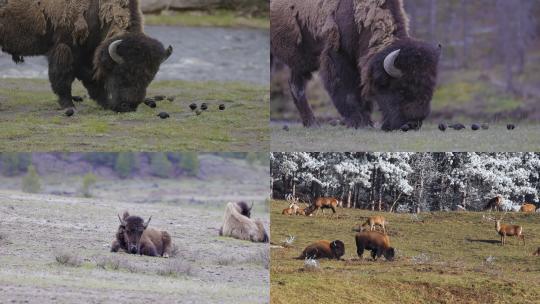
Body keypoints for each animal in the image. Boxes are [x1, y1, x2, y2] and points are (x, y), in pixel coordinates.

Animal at [0, 0, 172, 112]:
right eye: (123, 73)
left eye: (150, 77)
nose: (129, 106)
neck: (97, 9)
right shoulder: (66, 49)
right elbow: (64, 77)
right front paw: (68, 105)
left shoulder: (89, 55)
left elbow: (92, 79)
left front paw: (104, 103)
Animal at [272, 0, 440, 129]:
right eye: (401, 89)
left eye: (431, 88)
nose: (413, 123)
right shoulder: (338, 56)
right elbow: (348, 92)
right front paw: (359, 122)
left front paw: (367, 121)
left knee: (296, 86)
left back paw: (312, 124)